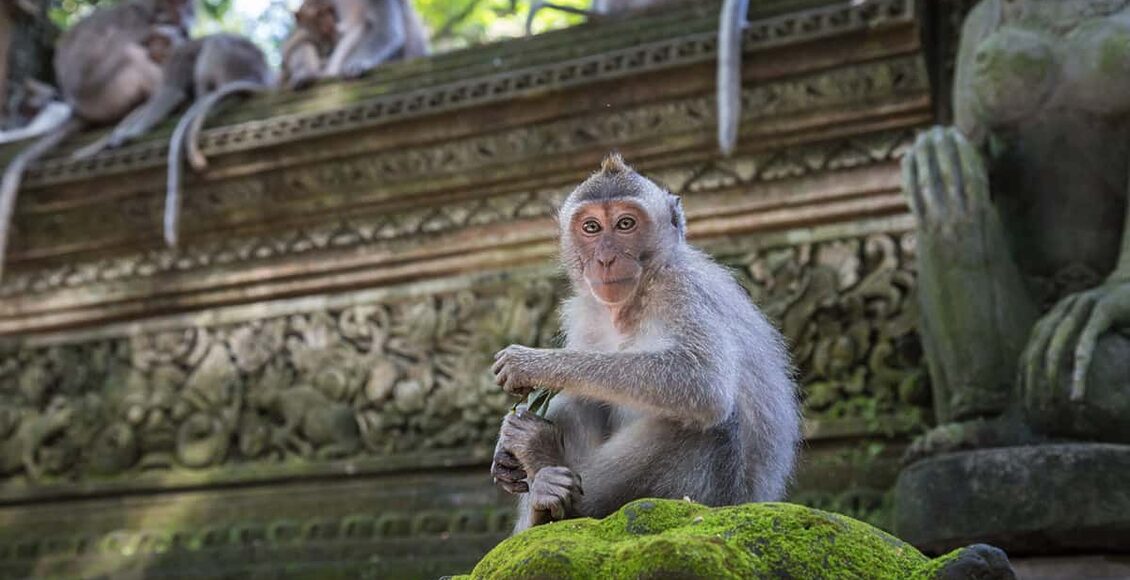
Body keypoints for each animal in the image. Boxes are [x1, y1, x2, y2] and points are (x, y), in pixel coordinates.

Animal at [0, 0, 196, 280]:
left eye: (187, 8)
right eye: (177, 7)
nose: (185, 18)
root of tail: (79, 109)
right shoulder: (140, 24)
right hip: (106, 93)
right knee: (130, 54)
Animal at [490, 152, 800, 529]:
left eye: (626, 224)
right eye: (591, 228)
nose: (605, 259)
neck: (632, 303)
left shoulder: (680, 289)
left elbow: (702, 380)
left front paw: (536, 364)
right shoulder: (587, 315)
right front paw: (504, 455)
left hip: (713, 498)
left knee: (711, 423)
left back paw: (546, 464)